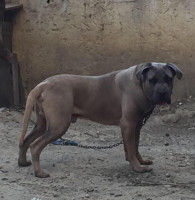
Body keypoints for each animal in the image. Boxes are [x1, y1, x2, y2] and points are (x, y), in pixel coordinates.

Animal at [18, 62, 183, 178]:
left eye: (168, 79)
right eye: (152, 80)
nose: (162, 93)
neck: (139, 83)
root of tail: (43, 84)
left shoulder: (136, 126)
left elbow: (134, 147)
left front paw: (139, 161)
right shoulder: (128, 125)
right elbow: (131, 148)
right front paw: (138, 168)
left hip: (42, 124)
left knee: (25, 141)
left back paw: (23, 162)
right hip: (58, 126)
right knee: (35, 145)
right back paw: (39, 172)